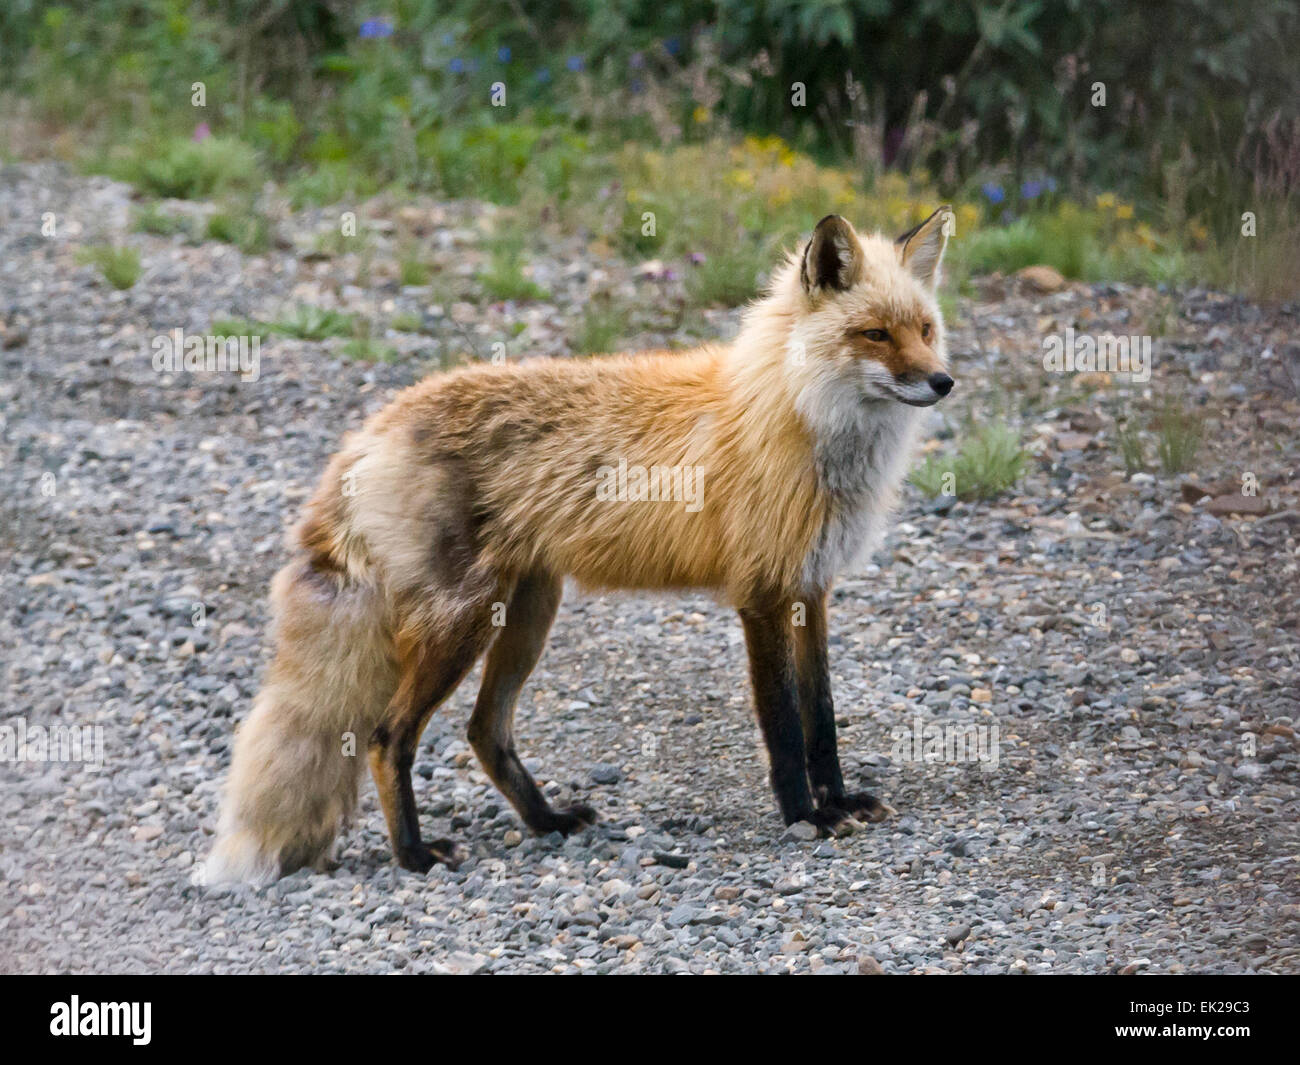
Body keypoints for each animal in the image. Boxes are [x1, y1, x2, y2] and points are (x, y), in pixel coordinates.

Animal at [205, 208, 956, 884]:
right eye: (875, 334)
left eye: (924, 330)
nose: (943, 382)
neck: (792, 415)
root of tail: (373, 426)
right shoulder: (762, 594)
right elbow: (784, 726)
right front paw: (806, 816)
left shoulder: (811, 588)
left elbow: (822, 720)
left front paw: (839, 799)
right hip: (462, 622)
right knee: (388, 738)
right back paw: (414, 855)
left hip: (528, 613)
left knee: (484, 732)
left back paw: (546, 821)